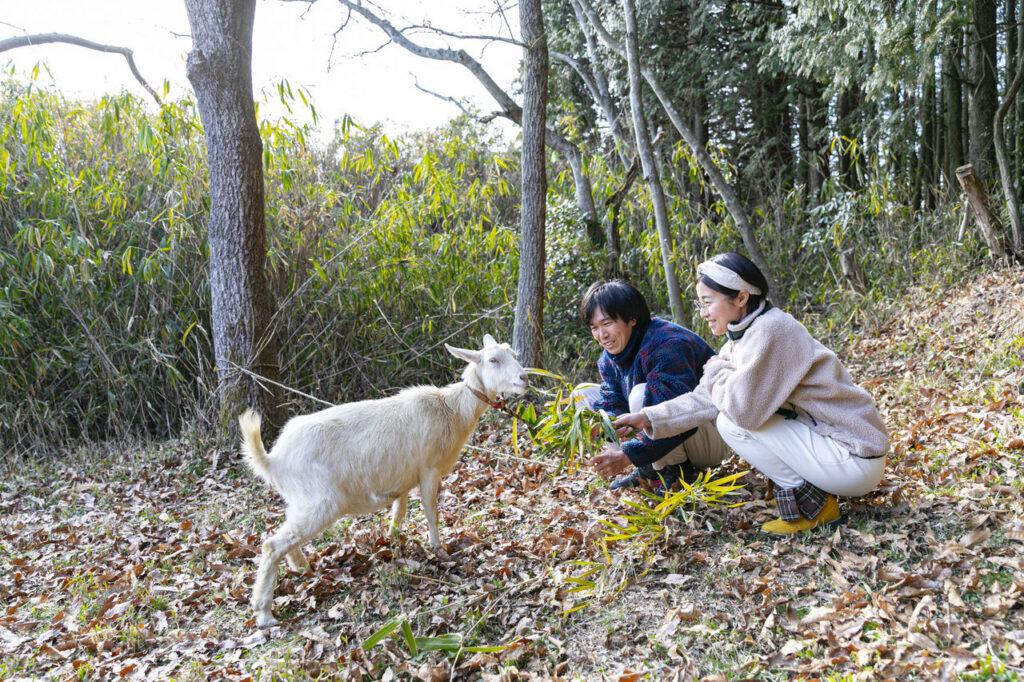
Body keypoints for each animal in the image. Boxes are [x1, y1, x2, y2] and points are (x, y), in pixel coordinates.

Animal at [236, 331, 532, 622]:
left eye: (514, 354)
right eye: (493, 360)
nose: (524, 378)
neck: (451, 410)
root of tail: (272, 459)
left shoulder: (404, 478)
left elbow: (398, 513)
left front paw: (393, 541)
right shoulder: (429, 469)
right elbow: (431, 512)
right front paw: (439, 550)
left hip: (300, 500)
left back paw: (302, 567)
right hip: (321, 501)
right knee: (271, 545)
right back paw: (264, 614)